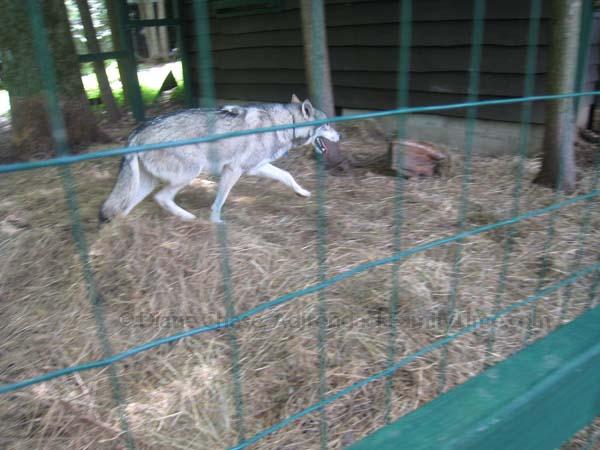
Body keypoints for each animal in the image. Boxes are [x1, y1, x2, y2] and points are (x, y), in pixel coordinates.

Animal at [101, 95, 340, 223]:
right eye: (328, 124)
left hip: (145, 185)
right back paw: (189, 218)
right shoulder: (233, 170)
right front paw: (216, 223)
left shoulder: (256, 167)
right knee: (161, 198)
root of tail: (137, 131)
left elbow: (287, 176)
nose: (340, 136)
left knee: (122, 209)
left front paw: (302, 193)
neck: (286, 123)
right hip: (190, 172)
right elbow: (219, 201)